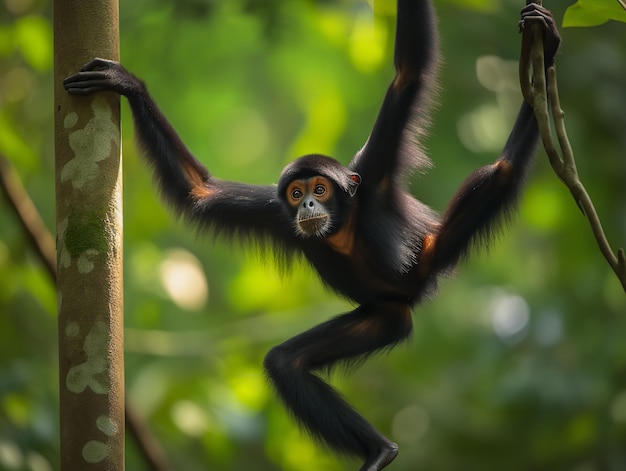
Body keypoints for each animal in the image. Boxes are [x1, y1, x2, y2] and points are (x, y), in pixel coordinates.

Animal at [63, 1, 560, 470]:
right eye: (297, 192)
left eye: (320, 189)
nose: (306, 206)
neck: (343, 227)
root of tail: (414, 293)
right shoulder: (273, 210)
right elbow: (197, 191)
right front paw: (127, 84)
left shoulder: (373, 170)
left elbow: (409, 73)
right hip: (386, 315)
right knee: (289, 363)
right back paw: (379, 450)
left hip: (429, 257)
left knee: (500, 174)